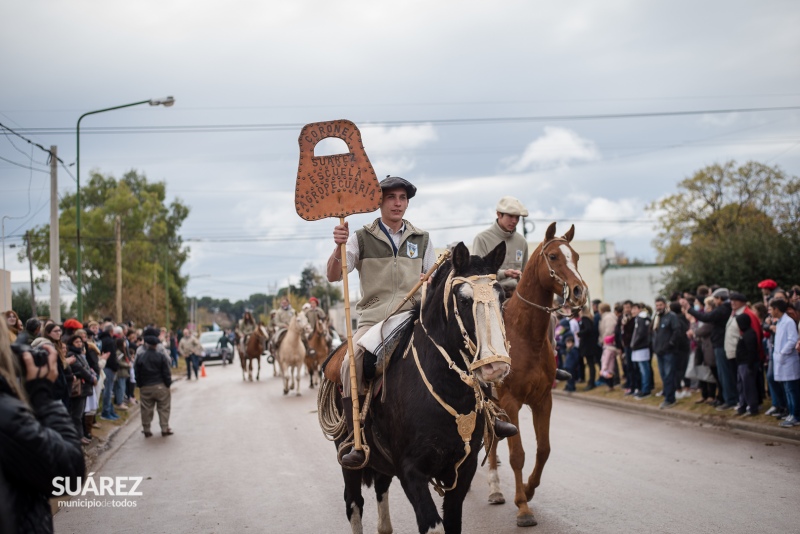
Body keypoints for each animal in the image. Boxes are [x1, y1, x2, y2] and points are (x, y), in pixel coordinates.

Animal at [330, 243, 506, 534]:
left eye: (501, 296)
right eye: (464, 300)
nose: (496, 365)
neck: (448, 392)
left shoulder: (463, 469)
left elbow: (452, 522)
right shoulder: (411, 470)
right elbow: (432, 524)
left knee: (380, 487)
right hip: (349, 459)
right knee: (353, 503)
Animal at [484, 224, 592, 528]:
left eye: (576, 256)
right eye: (553, 256)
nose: (579, 291)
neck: (524, 336)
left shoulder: (543, 400)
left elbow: (543, 449)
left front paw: (529, 489)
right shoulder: (511, 402)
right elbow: (517, 454)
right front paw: (523, 508)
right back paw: (494, 488)